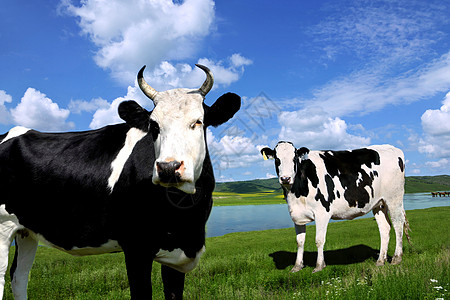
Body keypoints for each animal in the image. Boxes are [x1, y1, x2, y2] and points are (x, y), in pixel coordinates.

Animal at [0, 64, 243, 298]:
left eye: (198, 122)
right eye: (154, 126)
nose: (168, 168)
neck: (185, 216)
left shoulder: (178, 254)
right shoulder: (136, 248)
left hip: (27, 230)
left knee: (19, 277)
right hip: (2, 226)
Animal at [260, 142, 412, 274]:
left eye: (294, 158)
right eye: (277, 159)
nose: (285, 178)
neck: (297, 192)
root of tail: (393, 148)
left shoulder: (322, 212)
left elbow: (319, 240)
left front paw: (319, 266)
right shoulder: (297, 215)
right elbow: (300, 242)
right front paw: (297, 266)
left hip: (394, 199)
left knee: (398, 224)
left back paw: (396, 258)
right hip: (379, 204)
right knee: (385, 228)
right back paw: (380, 260)